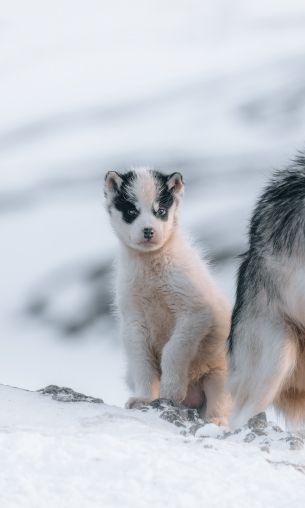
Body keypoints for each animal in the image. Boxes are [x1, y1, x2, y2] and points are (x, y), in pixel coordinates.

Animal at [103, 168, 229, 424]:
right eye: (131, 211)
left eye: (160, 211)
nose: (148, 231)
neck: (151, 267)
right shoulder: (133, 318)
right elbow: (142, 361)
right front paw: (143, 399)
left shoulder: (195, 312)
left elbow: (173, 350)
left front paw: (171, 392)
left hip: (219, 375)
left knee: (220, 404)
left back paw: (215, 421)